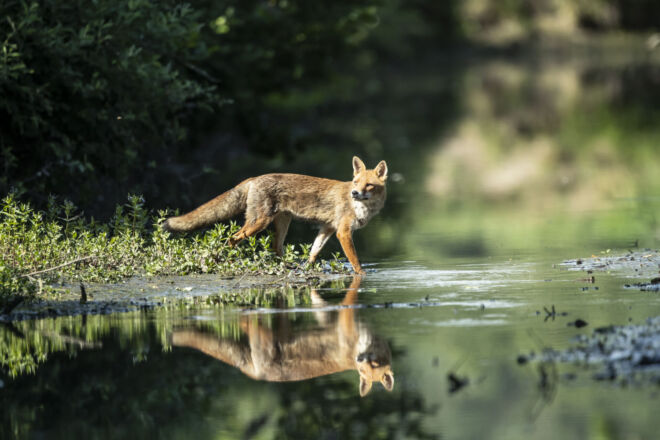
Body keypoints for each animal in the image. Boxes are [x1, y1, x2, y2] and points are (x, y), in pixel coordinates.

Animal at [162, 156, 388, 274]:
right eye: (355, 182)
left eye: (368, 185)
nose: (354, 193)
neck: (361, 207)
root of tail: (254, 178)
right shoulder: (343, 232)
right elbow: (355, 261)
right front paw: (362, 275)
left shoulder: (328, 228)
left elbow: (314, 252)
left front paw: (307, 268)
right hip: (258, 223)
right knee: (232, 239)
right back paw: (230, 262)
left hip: (281, 223)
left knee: (275, 247)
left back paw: (286, 266)